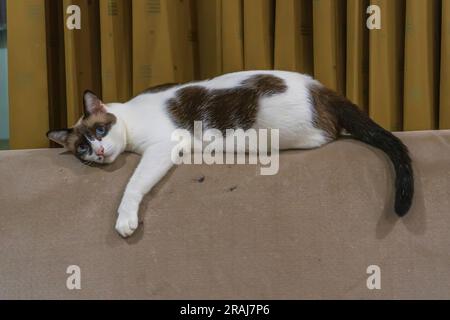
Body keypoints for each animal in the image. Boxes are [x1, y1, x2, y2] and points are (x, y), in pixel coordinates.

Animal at [47, 71, 414, 239]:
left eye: (100, 131)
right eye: (81, 147)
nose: (97, 151)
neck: (130, 116)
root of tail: (321, 88)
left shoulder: (162, 147)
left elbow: (133, 185)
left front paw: (125, 219)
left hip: (271, 122)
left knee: (323, 136)